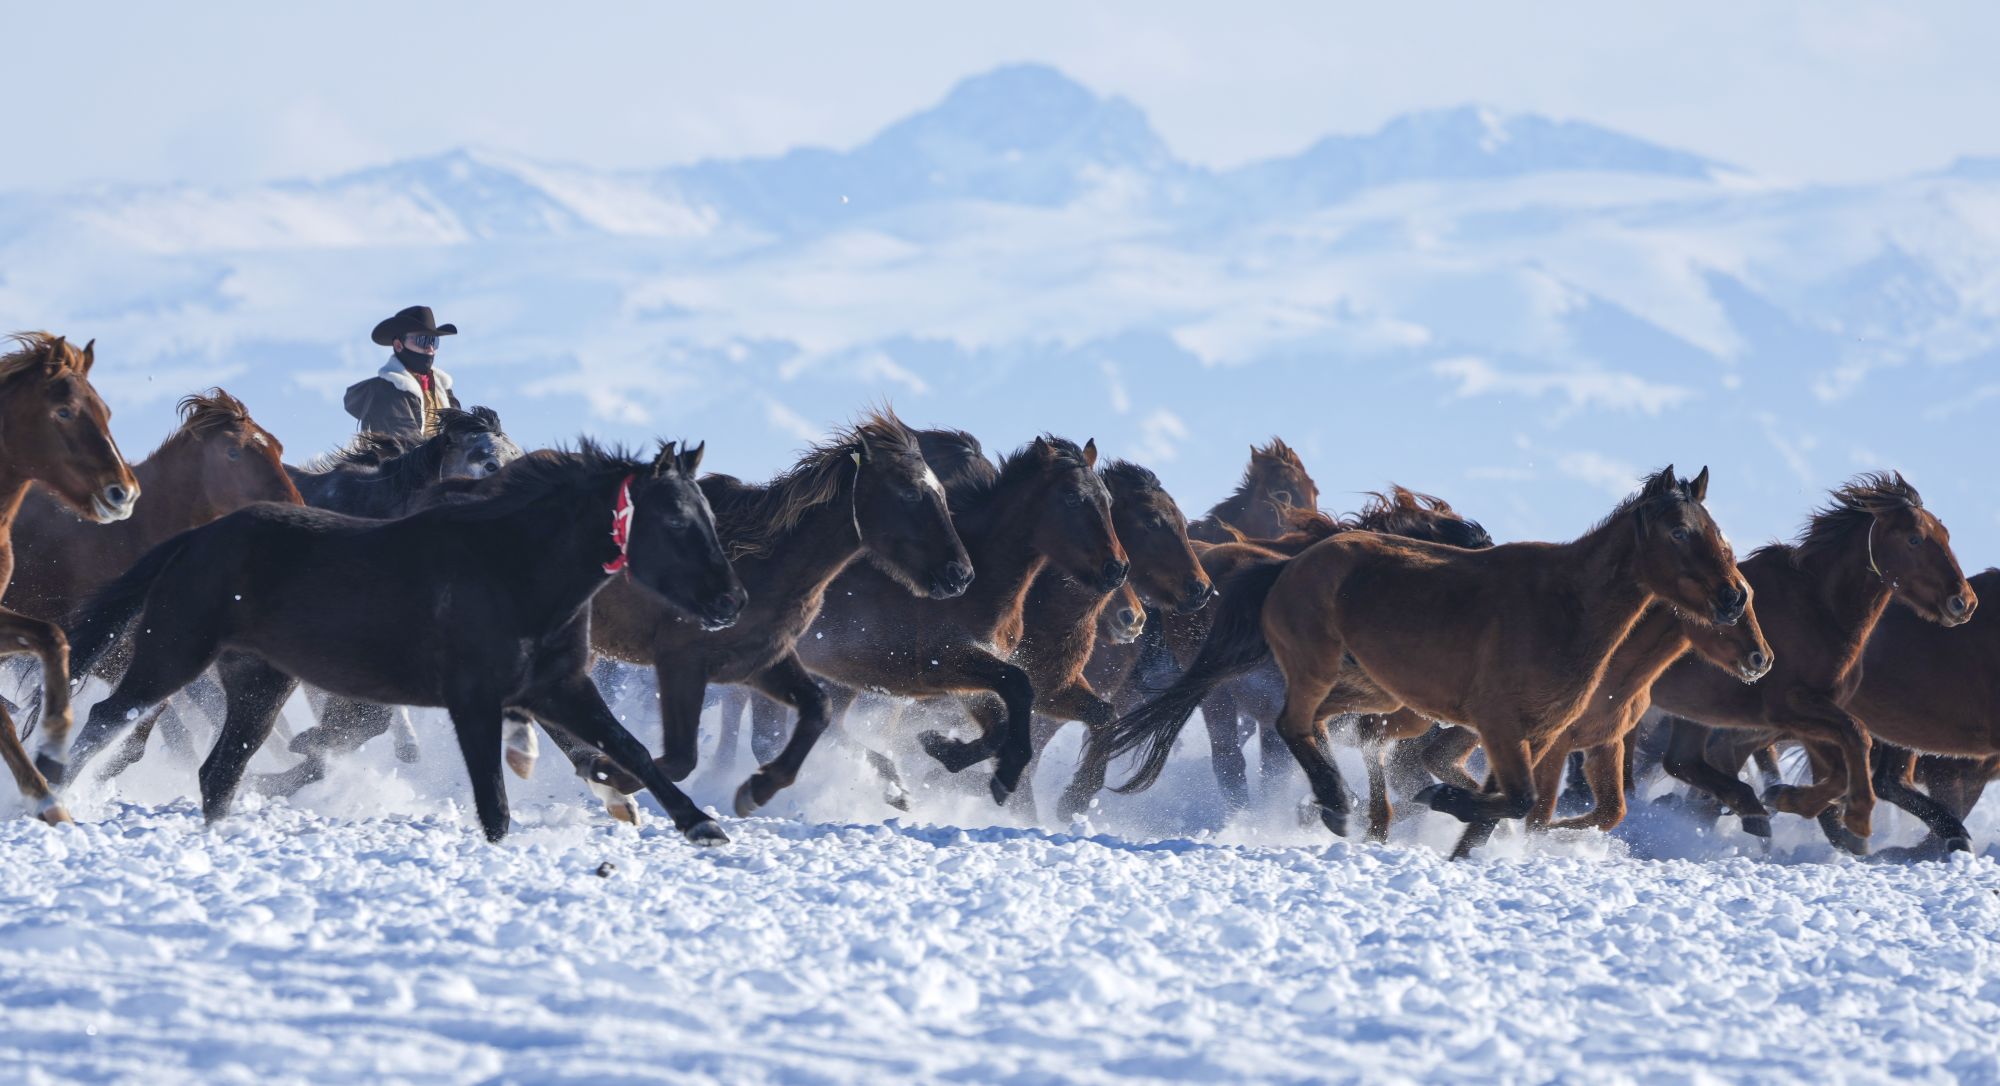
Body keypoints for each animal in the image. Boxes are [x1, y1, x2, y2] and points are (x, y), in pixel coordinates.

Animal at [46, 442, 746, 845]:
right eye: (676, 521)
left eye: (708, 516)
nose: (731, 602)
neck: (513, 567)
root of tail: (195, 539)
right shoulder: (474, 700)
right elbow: (494, 800)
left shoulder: (558, 688)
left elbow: (630, 751)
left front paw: (700, 825)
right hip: (175, 653)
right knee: (110, 718)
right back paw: (54, 799)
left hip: (260, 682)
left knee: (219, 770)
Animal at [572, 410, 970, 822]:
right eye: (909, 492)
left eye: (941, 493)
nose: (959, 574)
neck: (761, 562)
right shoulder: (682, 662)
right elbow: (681, 758)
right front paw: (606, 774)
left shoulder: (761, 660)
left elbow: (818, 710)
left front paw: (757, 788)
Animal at [792, 435, 1127, 808]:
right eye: (1071, 497)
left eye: (1108, 500)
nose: (1116, 569)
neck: (979, 584)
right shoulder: (944, 664)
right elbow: (1019, 688)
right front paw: (1004, 774)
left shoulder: (970, 680)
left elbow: (1007, 723)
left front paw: (943, 750)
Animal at [1108, 467, 1759, 844]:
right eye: (1679, 531)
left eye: (1716, 529)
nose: (1732, 598)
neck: (1568, 607)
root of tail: (1286, 567)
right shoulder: (1500, 726)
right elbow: (1515, 799)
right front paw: (1443, 802)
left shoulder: (1543, 735)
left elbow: (1517, 803)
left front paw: (1459, 820)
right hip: (1310, 676)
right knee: (1292, 727)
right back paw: (1337, 807)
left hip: (1367, 688)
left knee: (1325, 730)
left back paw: (1335, 805)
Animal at [1650, 473, 1975, 843]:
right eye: (1915, 539)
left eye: (1945, 536)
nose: (1963, 602)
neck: (1819, 609)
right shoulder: (1788, 707)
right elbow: (1857, 738)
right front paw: (1857, 817)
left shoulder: (1805, 715)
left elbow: (1840, 764)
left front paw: (1787, 798)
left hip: (1691, 715)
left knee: (1681, 762)